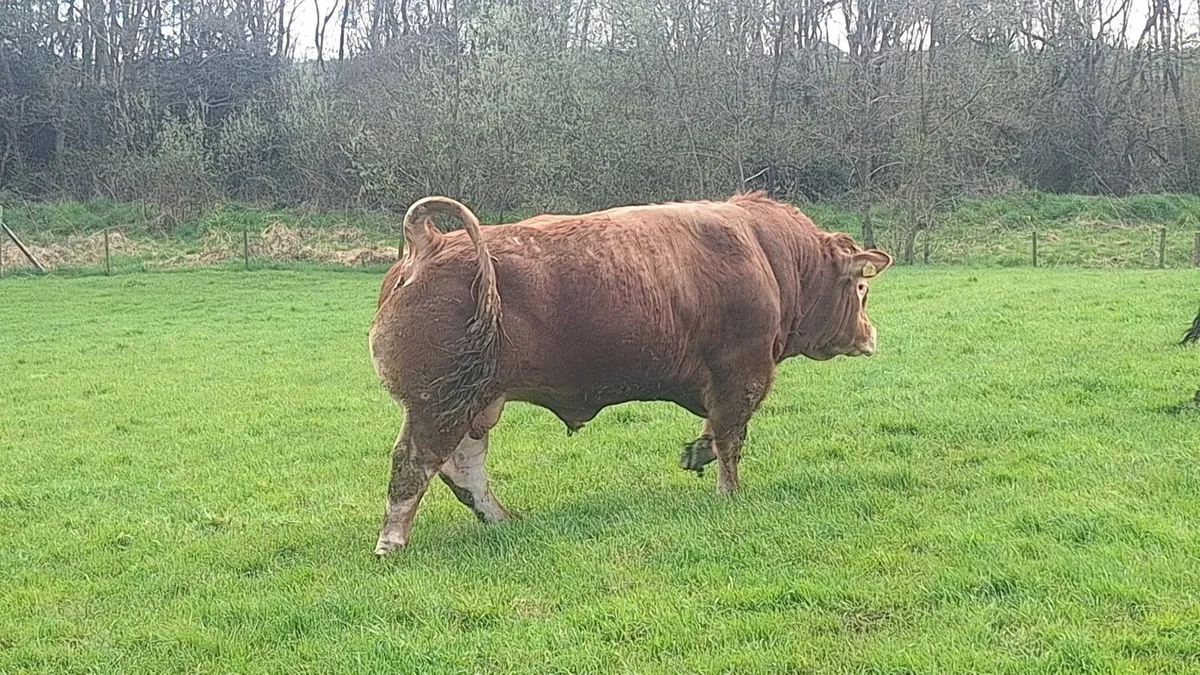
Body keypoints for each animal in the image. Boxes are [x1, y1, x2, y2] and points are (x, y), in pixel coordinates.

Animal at [368, 192, 893, 555]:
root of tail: (429, 240)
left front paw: (696, 453)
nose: (870, 335)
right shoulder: (743, 373)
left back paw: (503, 519)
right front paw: (729, 493)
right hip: (439, 403)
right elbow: (731, 439)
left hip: (475, 403)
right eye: (861, 288)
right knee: (414, 464)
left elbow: (714, 432)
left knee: (462, 468)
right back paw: (391, 543)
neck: (769, 256)